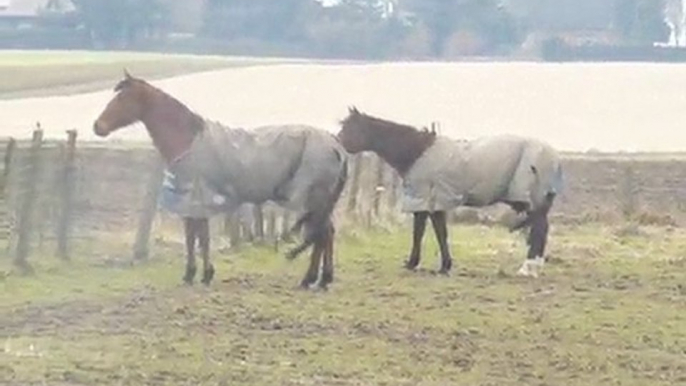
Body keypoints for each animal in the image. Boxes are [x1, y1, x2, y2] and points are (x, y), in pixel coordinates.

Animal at [93, 74, 346, 288]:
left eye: (122, 97)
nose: (98, 126)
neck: (190, 140)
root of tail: (336, 146)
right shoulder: (194, 203)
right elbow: (196, 237)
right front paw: (198, 274)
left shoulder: (195, 199)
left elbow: (198, 238)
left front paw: (199, 274)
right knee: (326, 233)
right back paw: (323, 279)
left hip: (315, 198)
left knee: (321, 234)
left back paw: (310, 279)